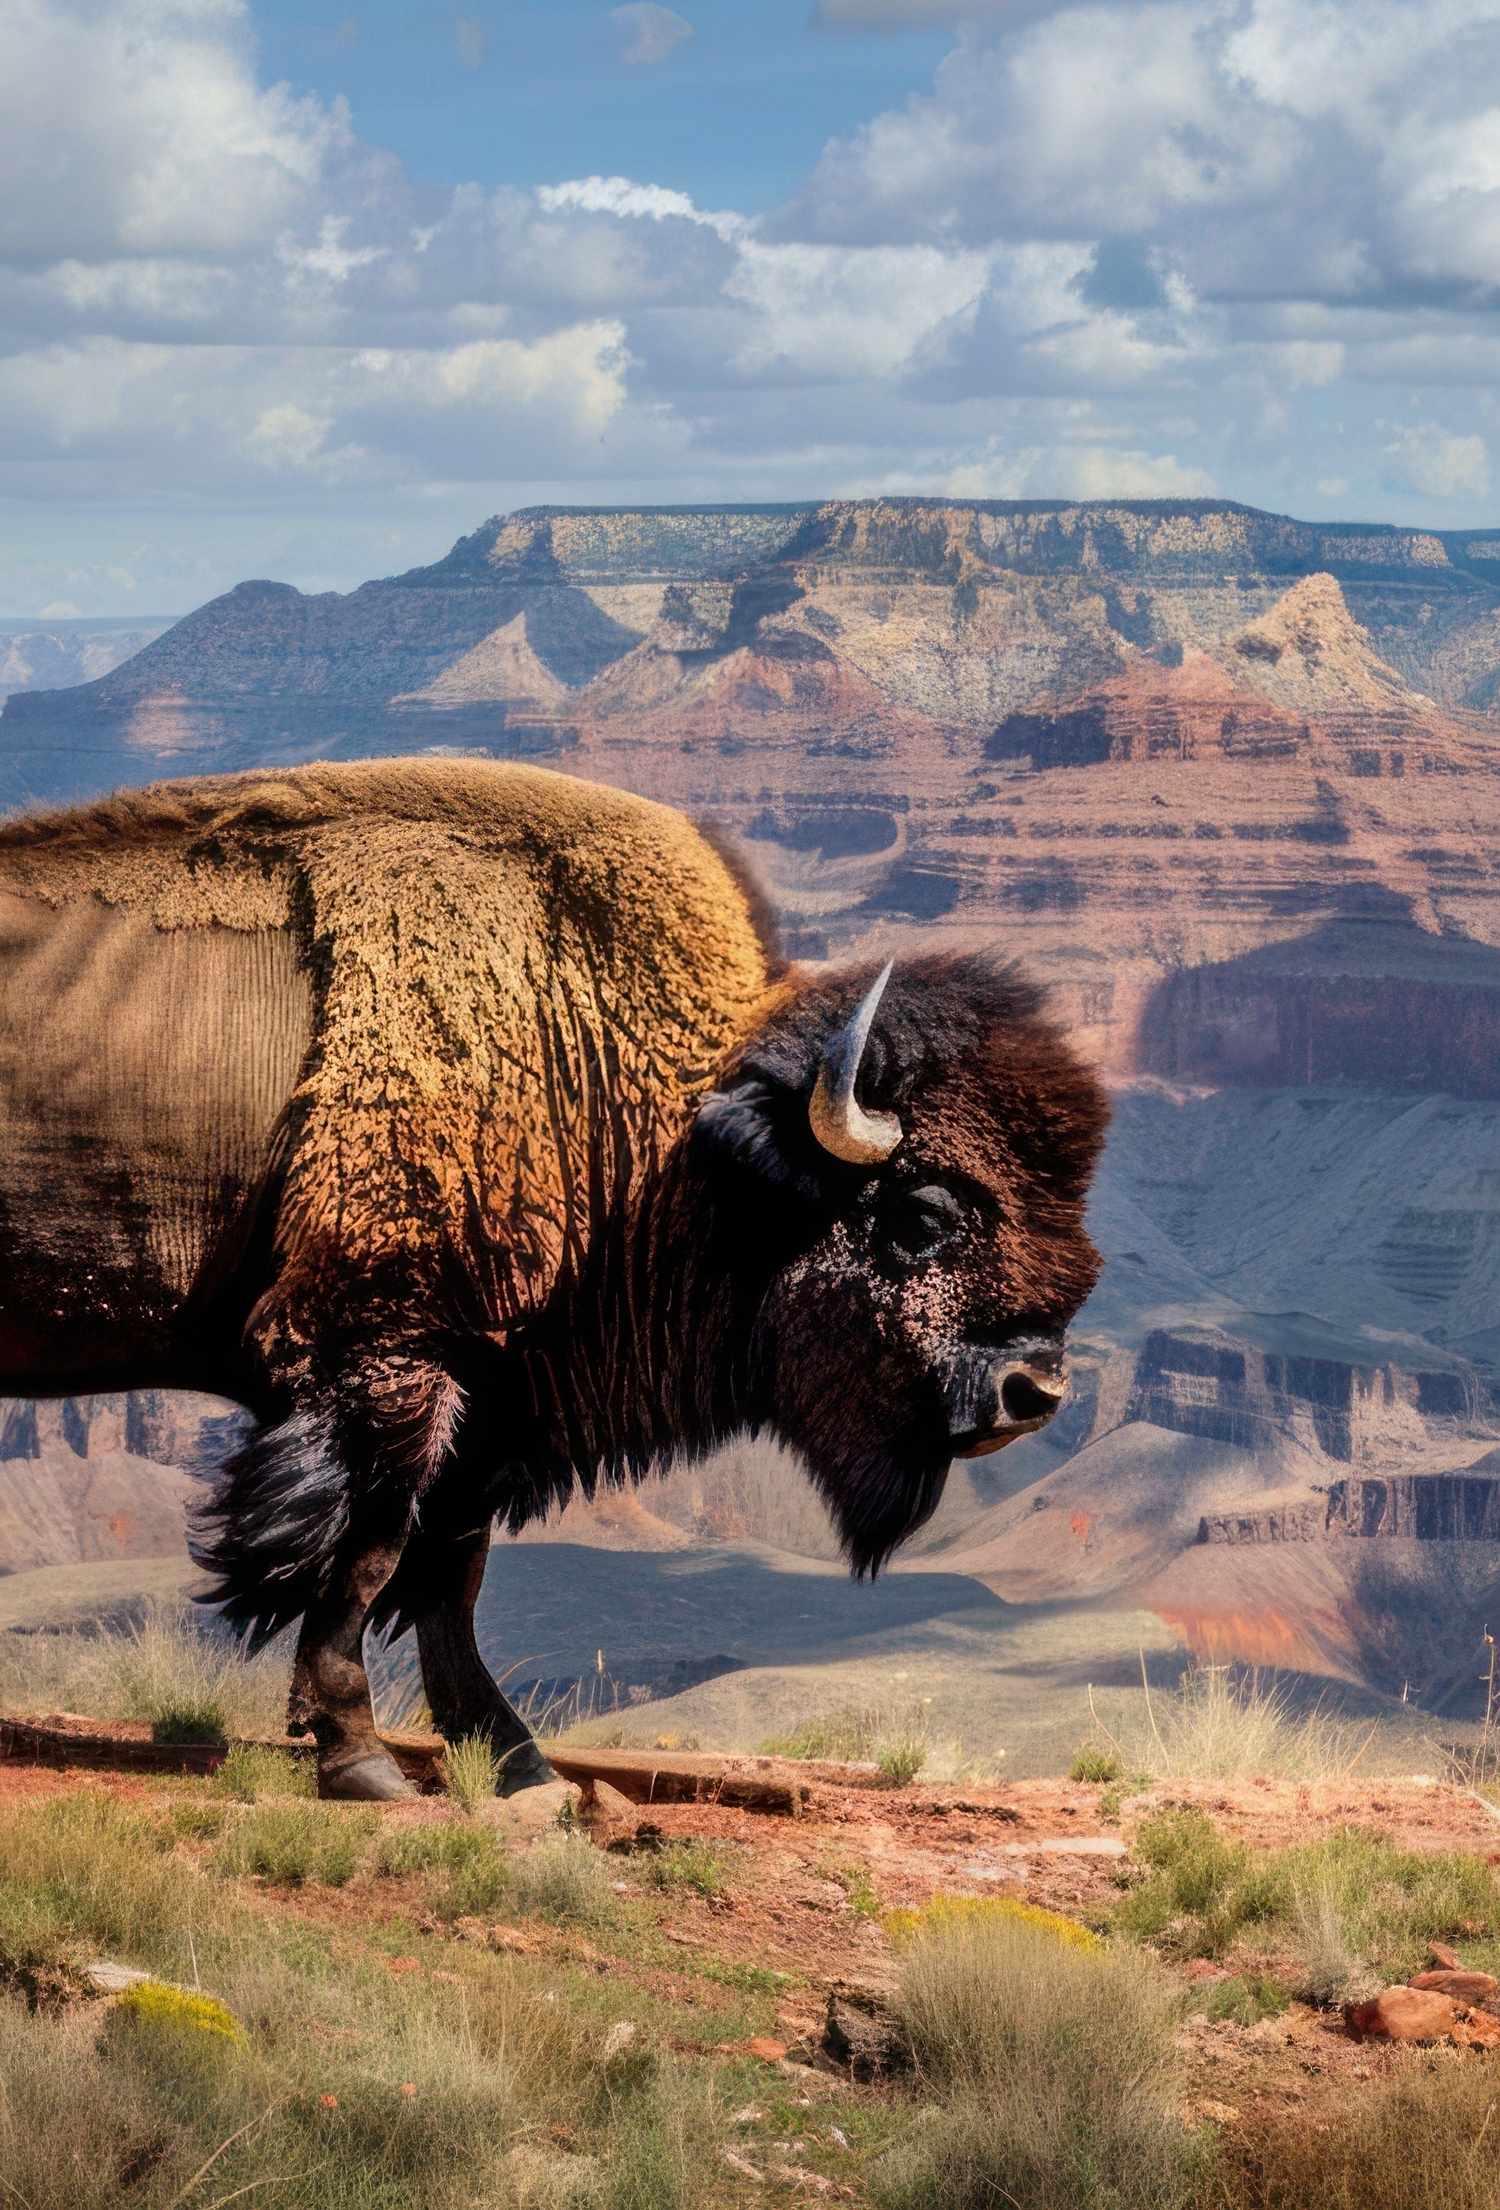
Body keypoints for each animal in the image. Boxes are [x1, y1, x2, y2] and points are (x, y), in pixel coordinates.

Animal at [0, 760, 1106, 1798]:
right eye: (920, 1215)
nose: (1035, 1391)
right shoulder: (388, 1366)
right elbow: (365, 1554)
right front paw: (362, 1760)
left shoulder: (483, 1398)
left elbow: (446, 1576)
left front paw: (517, 1762)